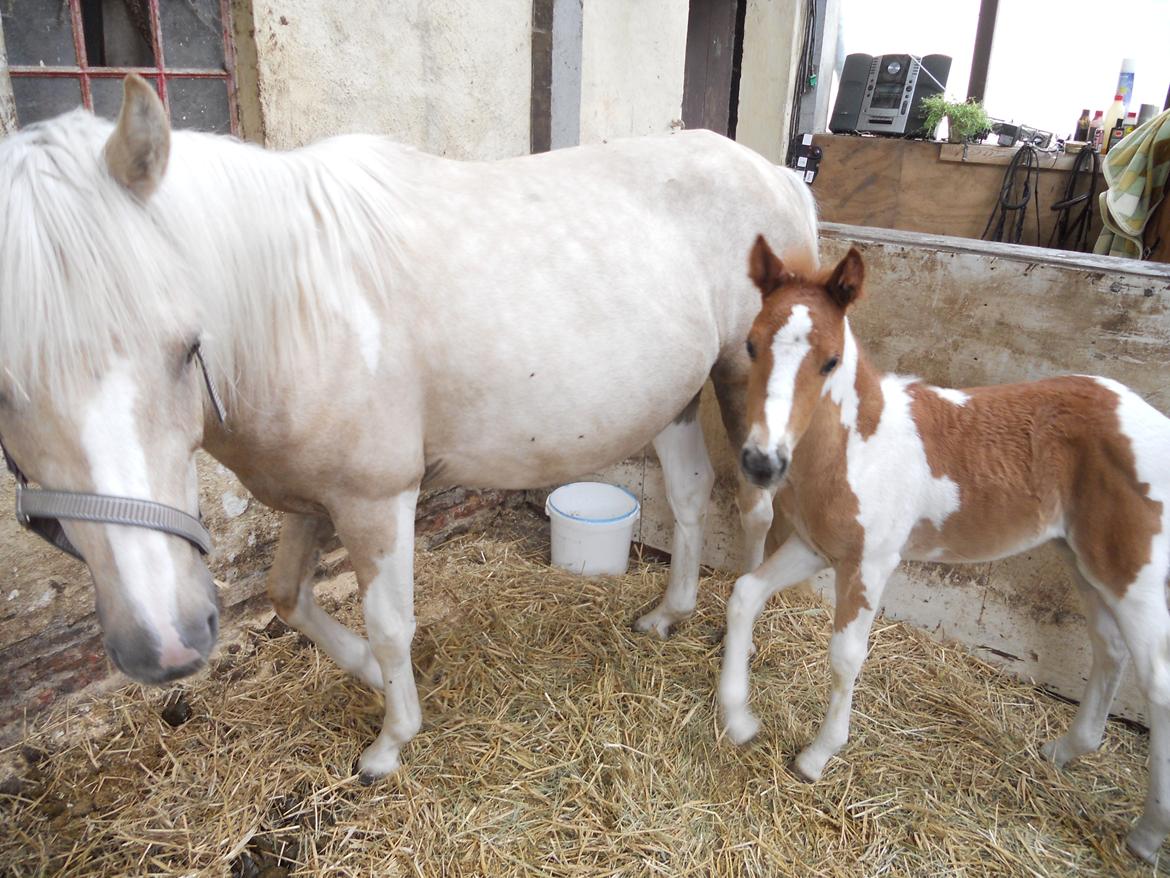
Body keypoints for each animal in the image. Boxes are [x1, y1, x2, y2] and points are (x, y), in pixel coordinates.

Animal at [0, 77, 819, 782]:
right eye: (6, 388)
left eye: (184, 346)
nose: (164, 640)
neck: (294, 310)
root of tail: (778, 176)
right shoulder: (311, 498)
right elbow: (287, 596)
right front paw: (370, 674)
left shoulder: (374, 500)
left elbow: (390, 621)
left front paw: (392, 741)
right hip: (677, 400)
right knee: (688, 496)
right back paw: (670, 613)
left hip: (742, 383)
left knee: (755, 506)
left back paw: (734, 618)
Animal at [716, 237, 1170, 861]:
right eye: (751, 344)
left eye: (830, 360)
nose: (762, 463)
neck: (858, 449)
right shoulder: (815, 547)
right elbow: (744, 594)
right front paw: (738, 718)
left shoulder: (870, 564)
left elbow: (846, 655)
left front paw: (817, 755)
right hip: (1086, 562)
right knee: (1110, 652)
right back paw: (1063, 752)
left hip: (1136, 575)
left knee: (1159, 685)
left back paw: (1147, 833)